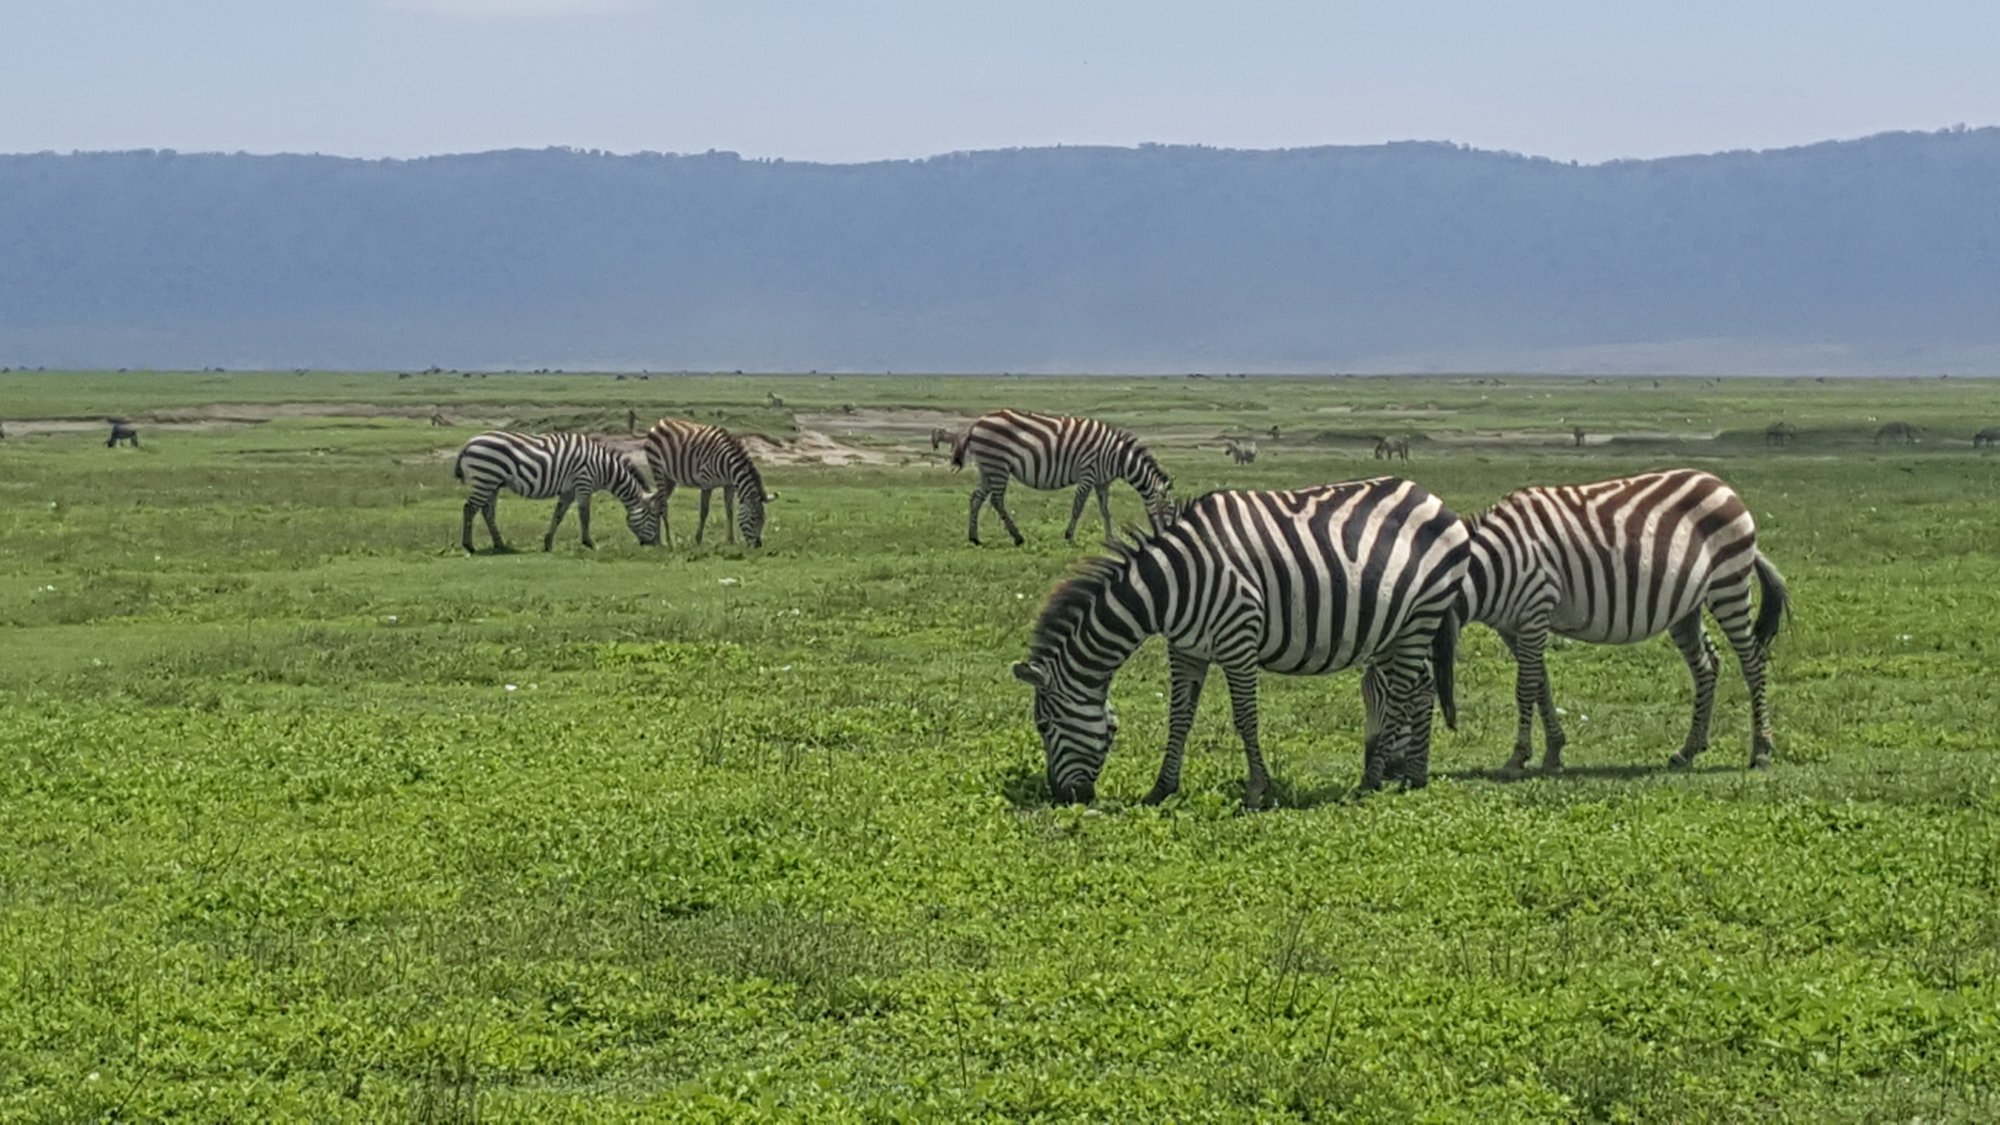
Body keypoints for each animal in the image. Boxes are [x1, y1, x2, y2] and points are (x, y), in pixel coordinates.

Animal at [450, 428, 660, 552]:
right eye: (653, 517)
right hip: (486, 478)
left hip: (492, 482)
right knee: (470, 508)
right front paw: (589, 543)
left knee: (487, 512)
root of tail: (469, 442)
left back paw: (499, 544)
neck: (603, 467)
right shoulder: (583, 482)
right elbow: (585, 515)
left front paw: (548, 543)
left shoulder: (569, 490)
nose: (656, 545)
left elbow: (558, 515)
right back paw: (469, 546)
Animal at [640, 416, 772, 548]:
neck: (727, 464)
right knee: (663, 505)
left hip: (669, 479)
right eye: (753, 519)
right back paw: (668, 541)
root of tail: (661, 421)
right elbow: (704, 512)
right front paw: (698, 539)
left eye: (764, 519)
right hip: (659, 471)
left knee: (657, 503)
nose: (758, 545)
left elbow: (730, 511)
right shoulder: (706, 484)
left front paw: (731, 540)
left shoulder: (728, 485)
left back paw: (657, 540)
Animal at [952, 406, 1168, 548]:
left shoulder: (1102, 482)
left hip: (987, 467)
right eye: (1170, 509)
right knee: (996, 500)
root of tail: (977, 422)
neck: (1117, 457)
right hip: (998, 464)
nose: (1165, 536)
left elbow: (1105, 510)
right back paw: (1018, 537)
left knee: (976, 498)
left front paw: (1111, 539)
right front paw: (1069, 537)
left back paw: (974, 538)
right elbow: (1078, 507)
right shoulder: (1088, 474)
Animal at [1016, 476, 1472, 800]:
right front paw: (1161, 789)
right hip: (1398, 626)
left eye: (1043, 725)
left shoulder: (1239, 639)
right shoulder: (1186, 649)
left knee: (1403, 695)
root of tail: (1430, 496)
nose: (1064, 796)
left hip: (1421, 616)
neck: (1169, 584)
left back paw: (1373, 780)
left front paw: (1258, 791)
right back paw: (1413, 776)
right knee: (1422, 688)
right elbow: (1179, 717)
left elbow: (1245, 718)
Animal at [1456, 464, 1800, 768]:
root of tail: (1722, 485)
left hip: (1728, 584)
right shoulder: (1513, 627)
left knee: (1752, 661)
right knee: (1707, 666)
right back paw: (1688, 750)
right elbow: (1540, 683)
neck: (1494, 564)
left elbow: (1526, 686)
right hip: (1687, 607)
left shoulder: (1535, 608)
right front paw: (1553, 751)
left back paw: (1761, 751)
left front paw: (1519, 757)